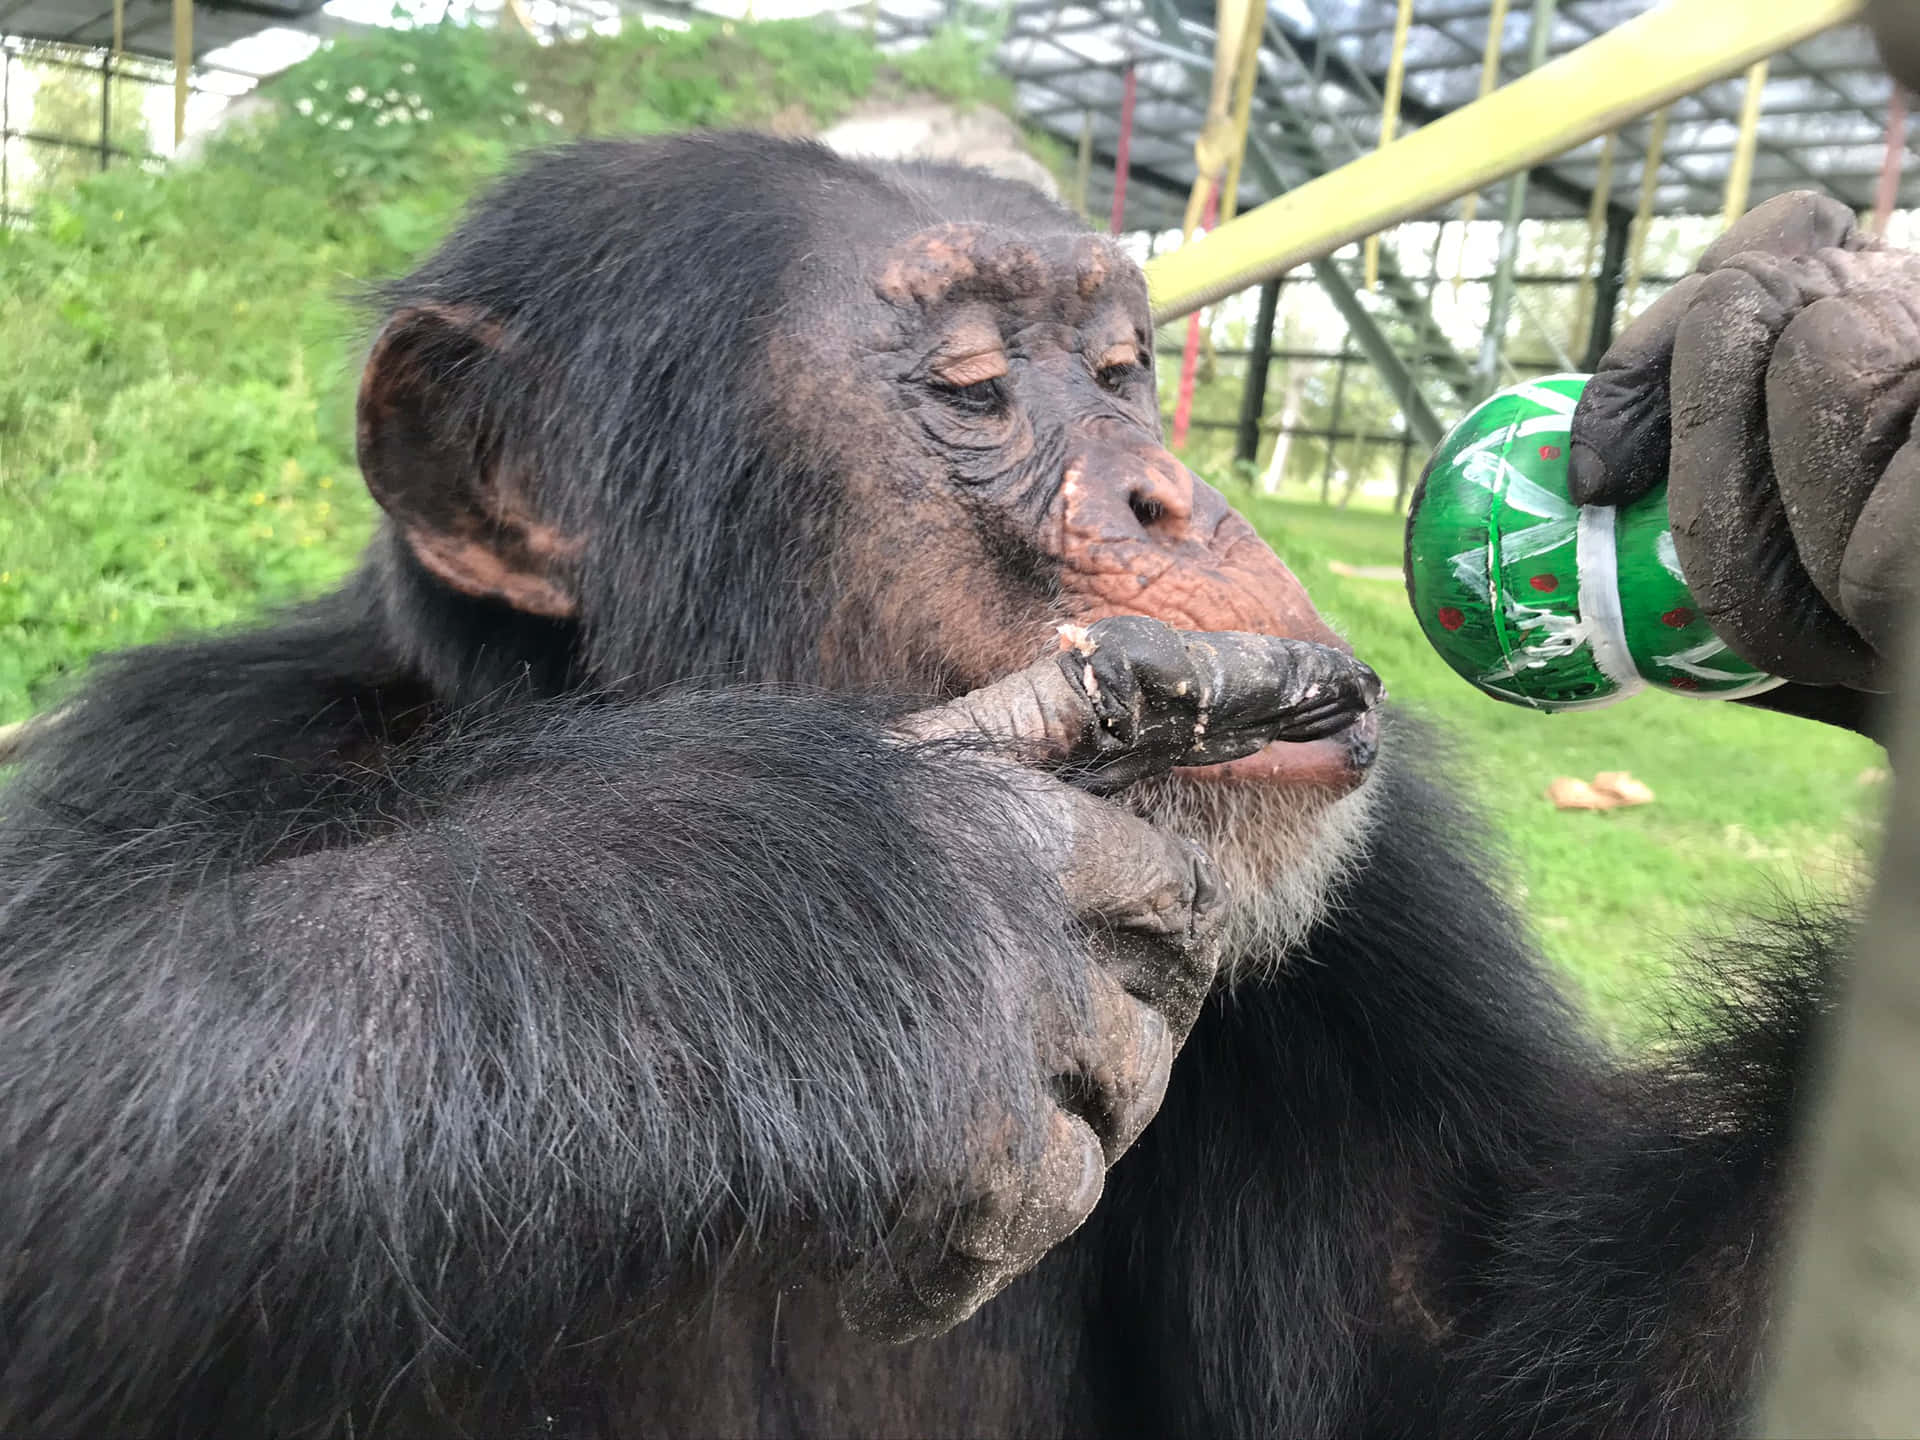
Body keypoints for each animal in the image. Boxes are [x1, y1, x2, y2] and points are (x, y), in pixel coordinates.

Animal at [0, 126, 1912, 1440]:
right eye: (979, 383)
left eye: (1124, 367)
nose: (1168, 488)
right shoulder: (182, 753)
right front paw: (840, 920)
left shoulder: (1383, 911)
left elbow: (1475, 1370)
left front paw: (1815, 383)